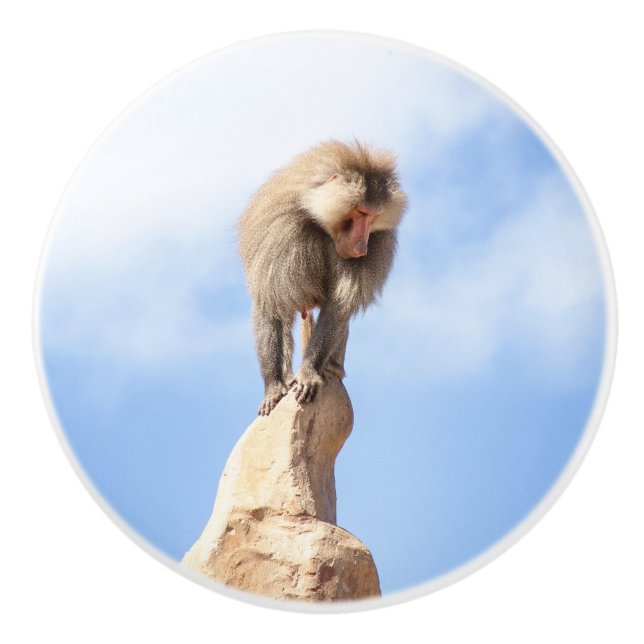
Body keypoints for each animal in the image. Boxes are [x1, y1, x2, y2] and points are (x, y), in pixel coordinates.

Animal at [238, 140, 407, 416]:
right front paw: (273, 388)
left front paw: (309, 373)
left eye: (373, 217)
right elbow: (271, 304)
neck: (317, 218)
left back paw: (331, 369)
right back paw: (287, 378)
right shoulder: (280, 233)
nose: (362, 248)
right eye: (361, 212)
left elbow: (339, 307)